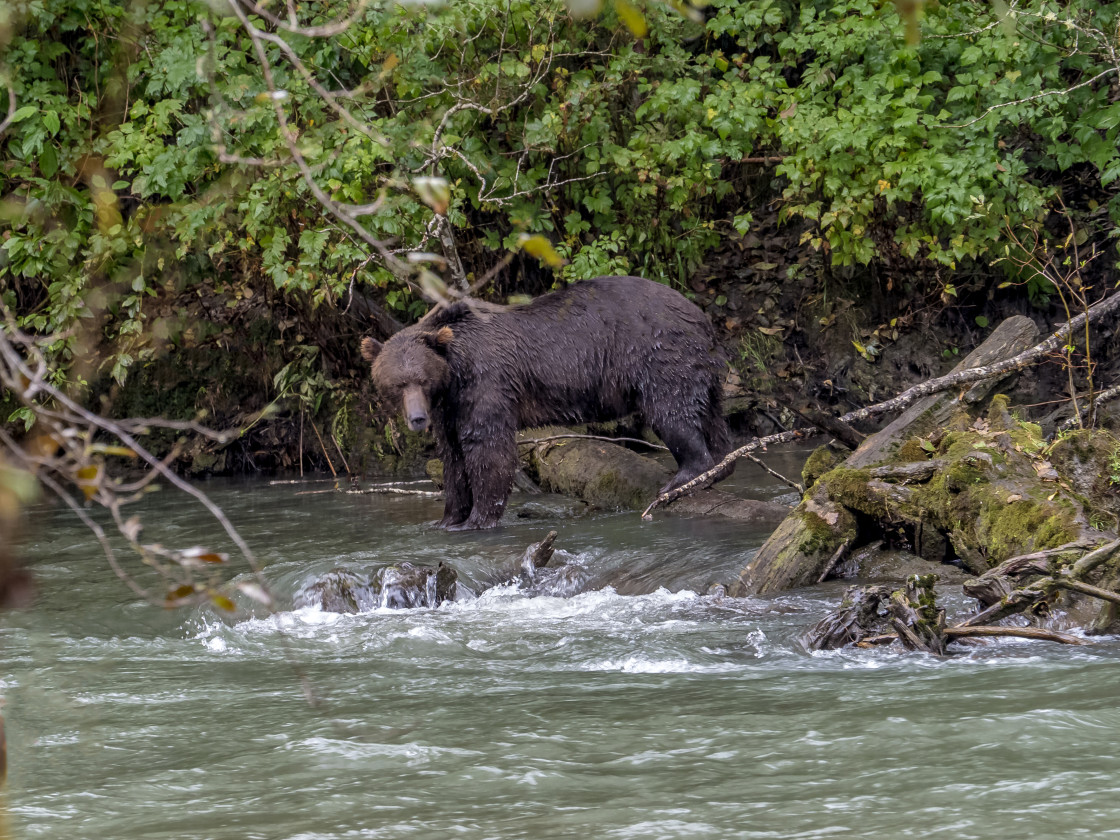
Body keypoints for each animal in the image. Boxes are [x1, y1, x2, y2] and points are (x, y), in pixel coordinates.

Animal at [358, 274, 739, 533]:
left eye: (421, 379)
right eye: (397, 383)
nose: (417, 419)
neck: (454, 372)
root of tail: (701, 317)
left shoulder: (486, 381)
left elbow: (487, 448)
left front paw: (477, 519)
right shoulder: (449, 406)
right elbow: (452, 456)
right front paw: (448, 518)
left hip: (660, 356)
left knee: (672, 412)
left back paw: (684, 478)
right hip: (703, 370)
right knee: (711, 416)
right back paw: (721, 464)